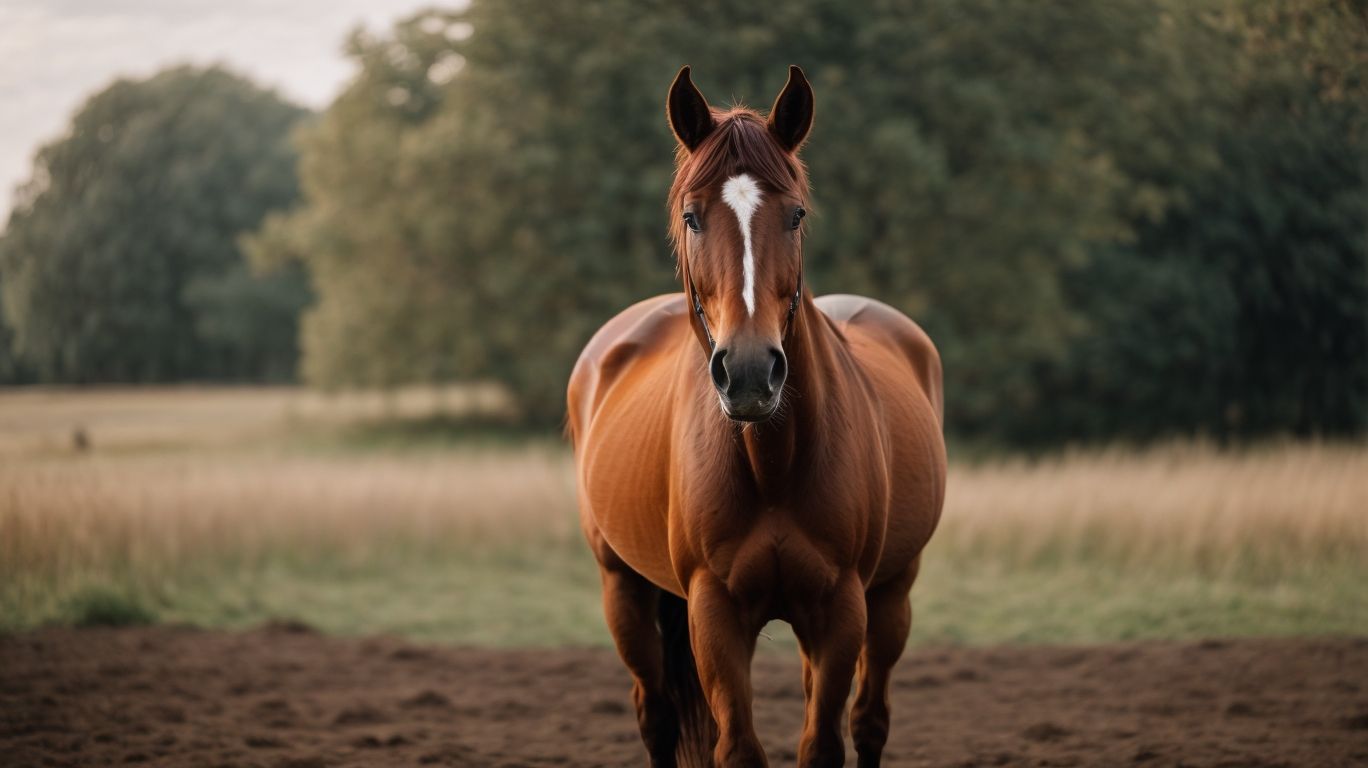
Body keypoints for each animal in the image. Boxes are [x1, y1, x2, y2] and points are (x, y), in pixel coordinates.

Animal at [567, 65, 947, 768]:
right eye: (692, 217)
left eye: (795, 215)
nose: (747, 372)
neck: (772, 465)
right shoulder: (712, 612)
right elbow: (738, 748)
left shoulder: (841, 608)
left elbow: (822, 743)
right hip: (621, 588)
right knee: (655, 716)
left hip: (892, 593)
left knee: (870, 719)